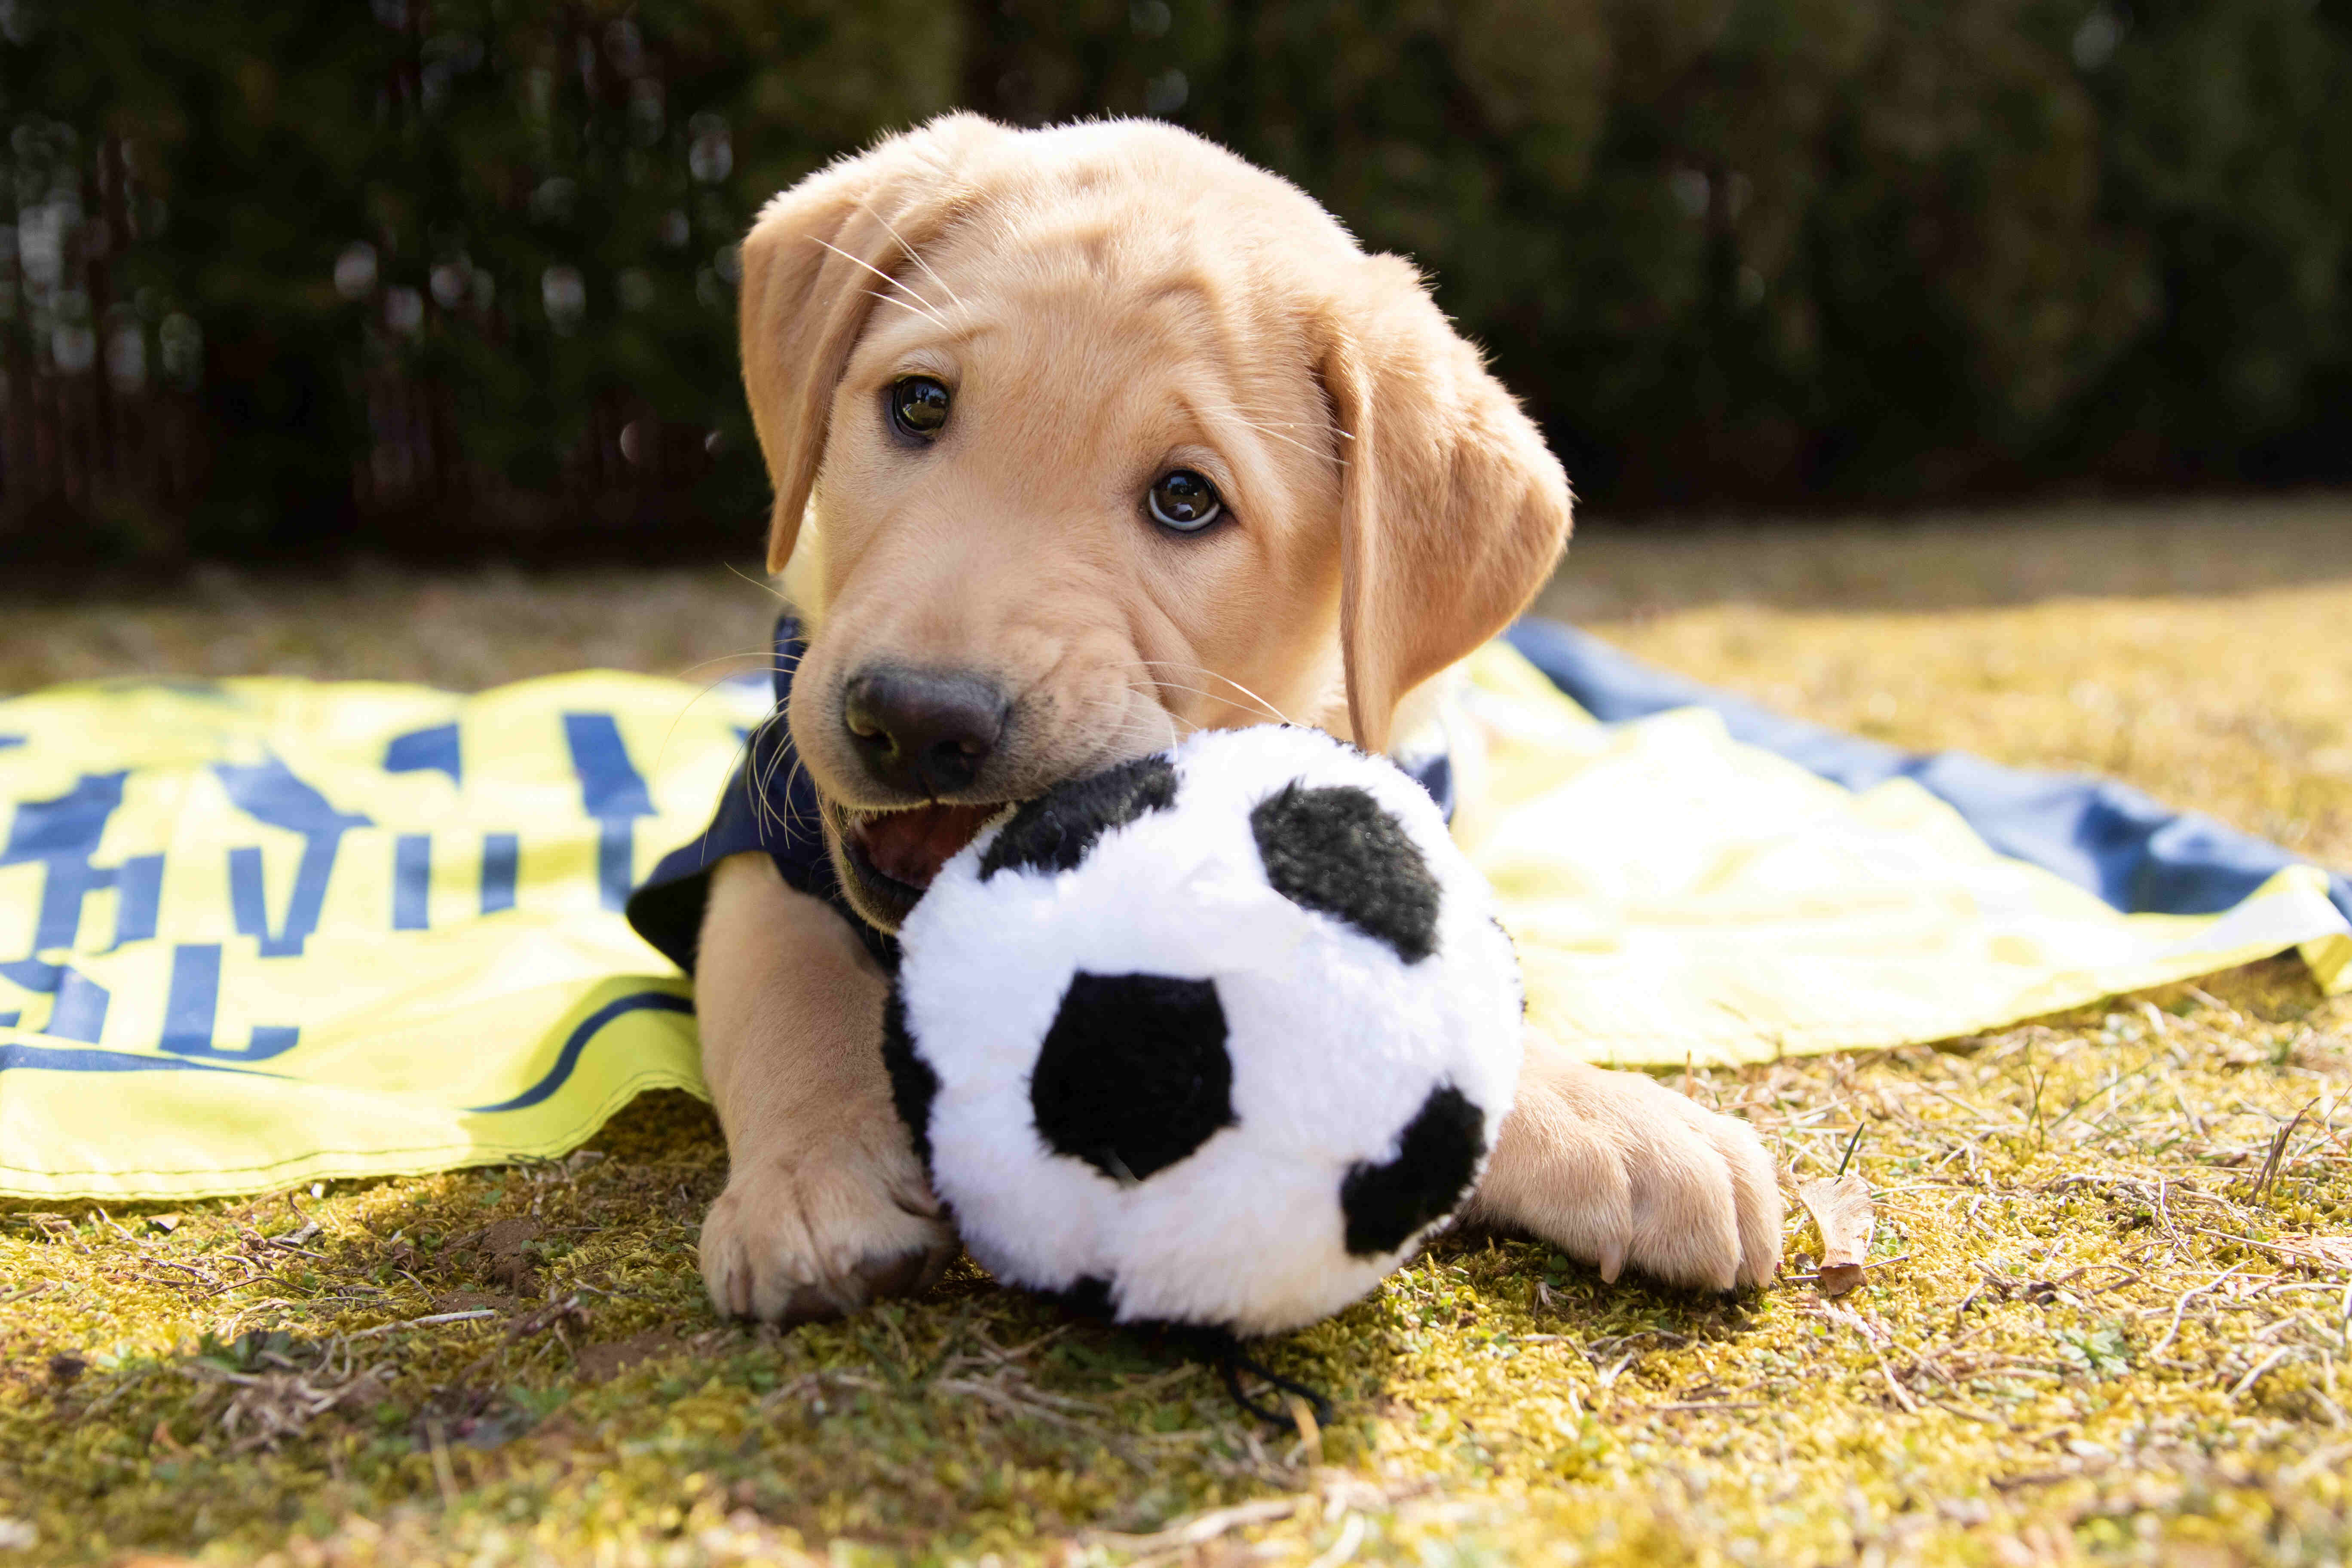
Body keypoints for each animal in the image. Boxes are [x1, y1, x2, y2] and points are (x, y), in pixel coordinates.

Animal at [672, 116, 1768, 1335]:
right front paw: (818, 1179)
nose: (916, 720)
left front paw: (1624, 1126)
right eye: (917, 405)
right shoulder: (765, 827)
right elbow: (787, 991)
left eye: (1186, 500)